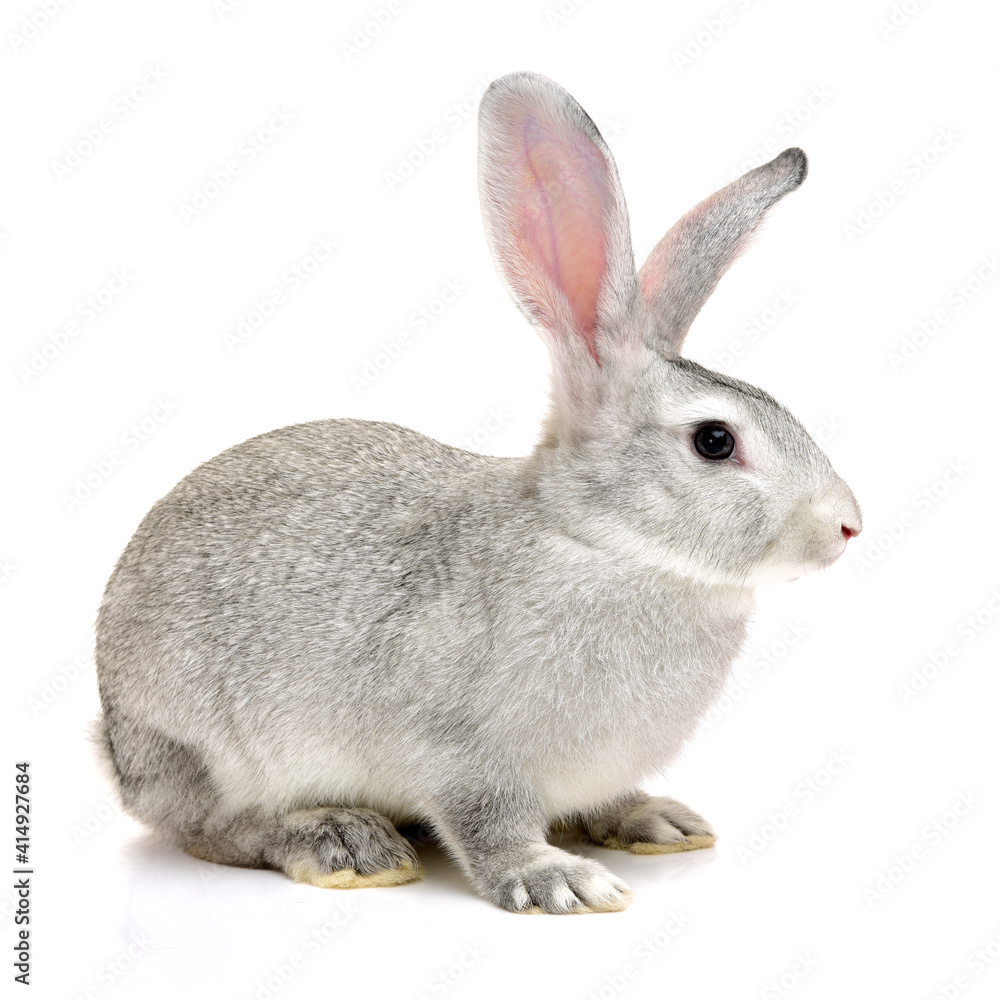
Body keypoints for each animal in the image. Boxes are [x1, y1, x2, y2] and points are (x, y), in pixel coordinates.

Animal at [94, 71, 862, 915]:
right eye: (715, 442)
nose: (849, 525)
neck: (605, 544)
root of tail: (115, 742)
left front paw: (652, 821)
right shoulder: (459, 752)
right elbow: (487, 824)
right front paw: (559, 881)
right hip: (205, 744)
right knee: (213, 827)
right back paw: (345, 844)